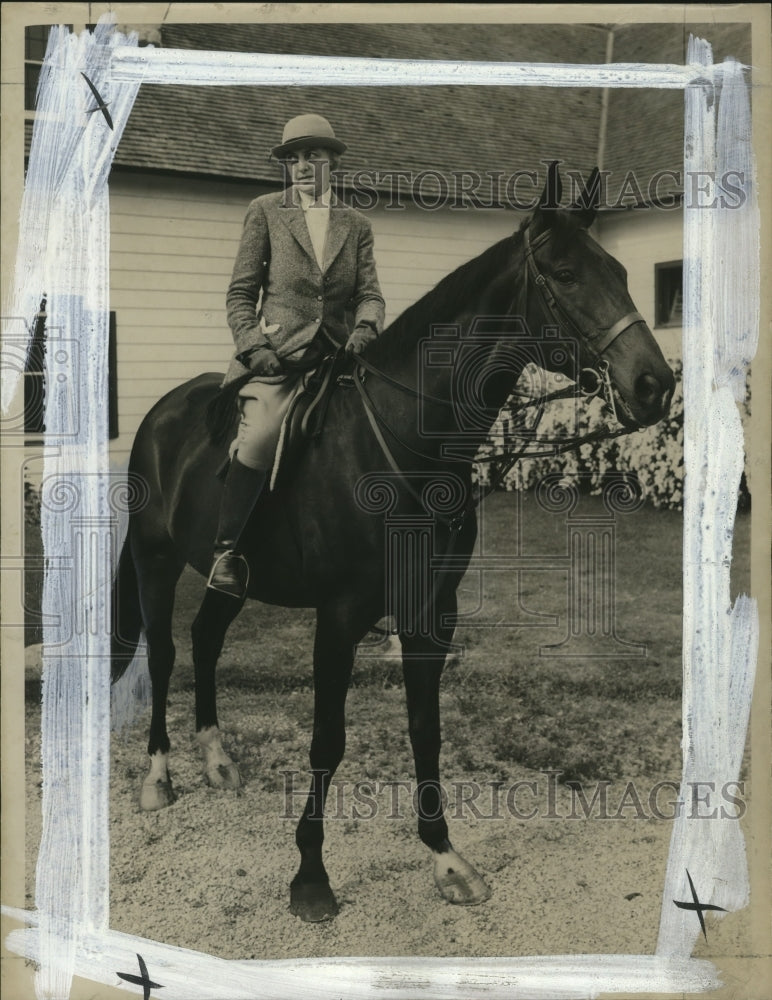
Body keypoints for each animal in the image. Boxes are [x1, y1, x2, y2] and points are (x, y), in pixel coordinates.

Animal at [111, 170, 672, 920]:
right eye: (563, 274)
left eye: (619, 270)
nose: (655, 384)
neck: (407, 439)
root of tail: (164, 410)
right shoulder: (341, 616)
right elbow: (328, 738)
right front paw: (311, 876)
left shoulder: (433, 612)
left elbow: (424, 727)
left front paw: (446, 857)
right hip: (155, 559)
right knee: (165, 652)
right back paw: (159, 777)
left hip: (232, 574)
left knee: (205, 637)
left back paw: (217, 760)